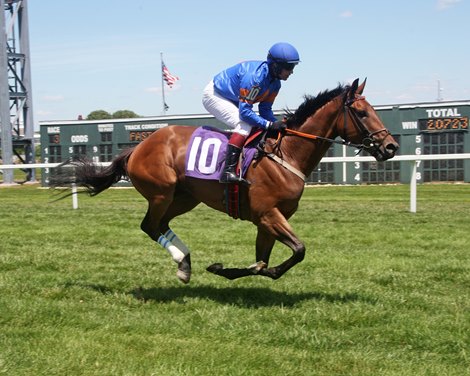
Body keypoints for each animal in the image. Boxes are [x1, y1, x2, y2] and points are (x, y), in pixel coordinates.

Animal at [51, 80, 396, 284]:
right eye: (362, 113)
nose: (390, 147)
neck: (286, 154)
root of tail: (139, 145)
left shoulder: (267, 220)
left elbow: (261, 262)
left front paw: (228, 270)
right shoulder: (268, 215)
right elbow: (297, 250)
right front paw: (240, 270)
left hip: (184, 198)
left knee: (160, 225)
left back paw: (185, 263)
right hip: (162, 192)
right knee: (149, 226)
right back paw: (182, 263)